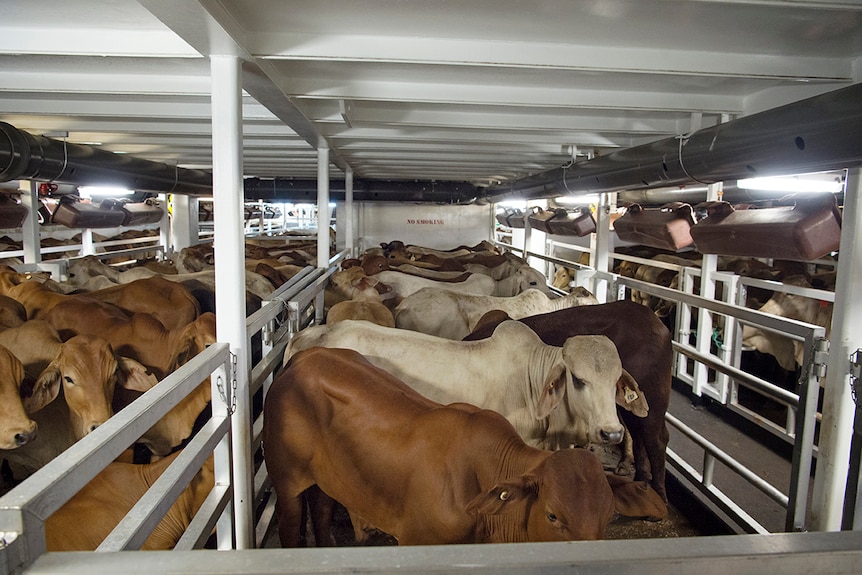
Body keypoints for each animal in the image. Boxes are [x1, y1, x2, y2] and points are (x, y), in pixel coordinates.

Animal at [264, 346, 668, 548]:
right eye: (553, 516)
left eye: (609, 514)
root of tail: (301, 358)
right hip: (286, 482)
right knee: (290, 527)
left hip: (325, 480)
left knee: (321, 511)